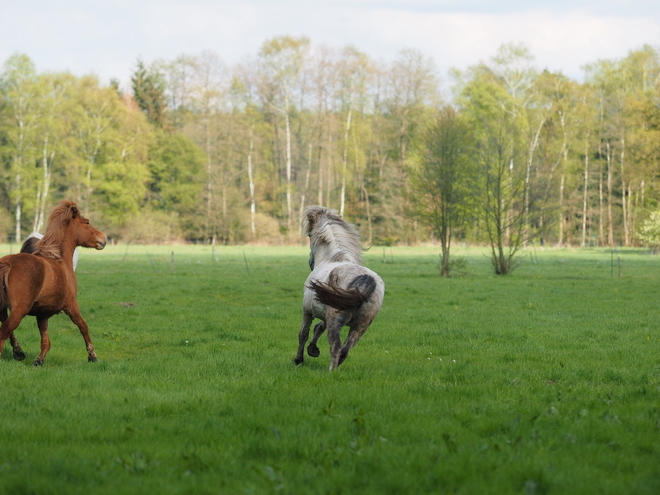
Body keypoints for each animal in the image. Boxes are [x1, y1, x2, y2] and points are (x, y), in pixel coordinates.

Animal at [0, 200, 105, 366]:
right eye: (87, 222)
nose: (103, 238)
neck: (59, 260)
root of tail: (8, 264)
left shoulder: (42, 314)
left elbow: (45, 340)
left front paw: (39, 360)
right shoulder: (71, 305)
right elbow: (83, 326)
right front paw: (92, 356)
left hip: (3, 308)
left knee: (7, 328)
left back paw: (19, 352)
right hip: (19, 310)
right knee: (5, 330)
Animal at [296, 205, 384, 372]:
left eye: (310, 236)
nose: (310, 262)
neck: (331, 258)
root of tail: (366, 281)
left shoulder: (307, 311)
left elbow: (303, 334)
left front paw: (298, 360)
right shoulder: (324, 314)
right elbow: (319, 328)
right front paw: (313, 350)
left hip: (336, 322)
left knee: (336, 347)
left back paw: (331, 372)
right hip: (360, 327)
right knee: (345, 350)